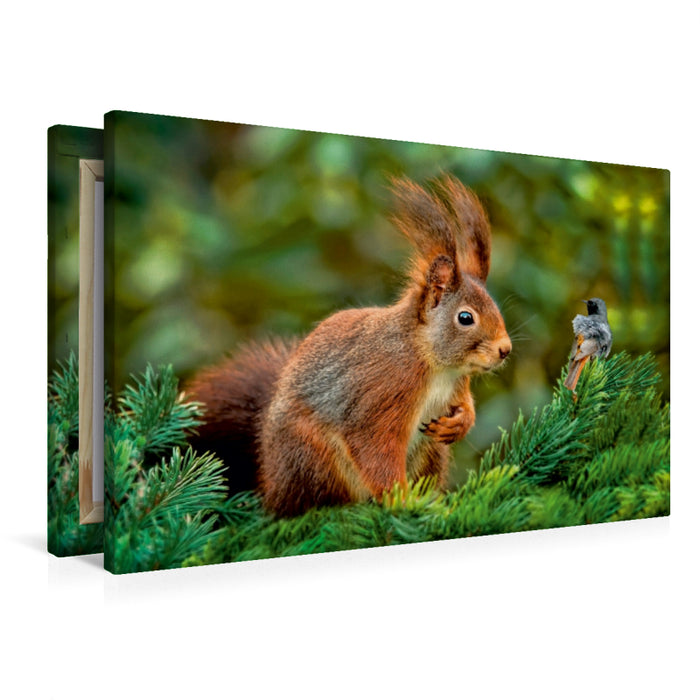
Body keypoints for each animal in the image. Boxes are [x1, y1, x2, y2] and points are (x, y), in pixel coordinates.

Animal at [187, 175, 511, 517]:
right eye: (465, 317)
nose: (505, 349)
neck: (435, 364)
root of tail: (271, 484)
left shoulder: (456, 385)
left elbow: (466, 406)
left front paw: (461, 423)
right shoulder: (384, 392)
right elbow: (374, 447)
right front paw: (402, 501)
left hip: (430, 451)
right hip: (313, 454)